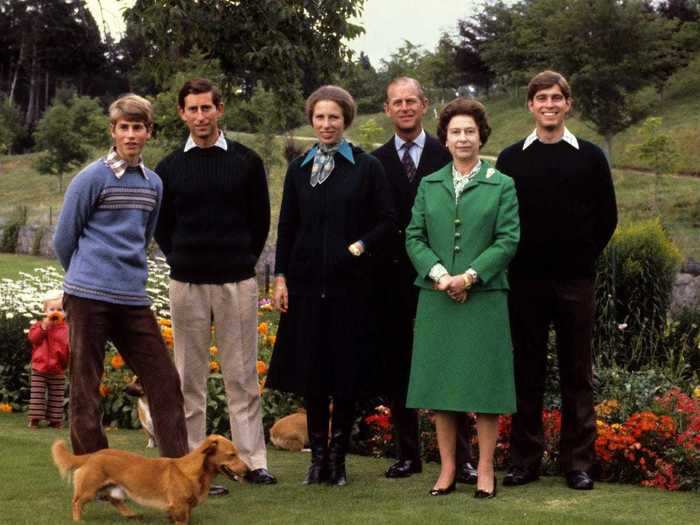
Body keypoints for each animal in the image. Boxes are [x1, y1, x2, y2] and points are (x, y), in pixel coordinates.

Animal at [52, 434, 249, 524]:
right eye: (232, 455)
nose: (248, 471)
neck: (194, 472)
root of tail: (92, 455)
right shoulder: (179, 506)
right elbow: (182, 520)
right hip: (89, 489)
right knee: (76, 501)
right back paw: (78, 519)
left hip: (114, 488)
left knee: (114, 500)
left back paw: (131, 514)